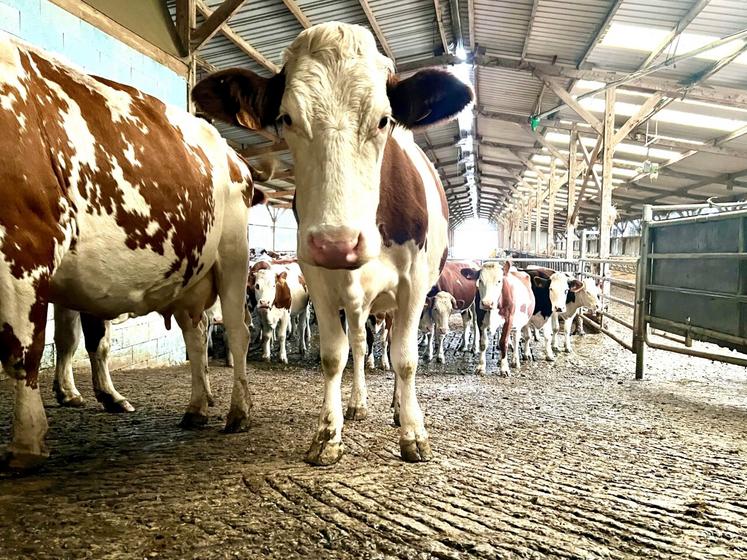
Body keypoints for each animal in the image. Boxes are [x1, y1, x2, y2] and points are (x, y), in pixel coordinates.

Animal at [0, 34, 256, 470]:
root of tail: (231, 151)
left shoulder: (25, 239)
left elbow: (24, 349)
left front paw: (26, 443)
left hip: (233, 257)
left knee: (238, 331)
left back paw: (238, 412)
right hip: (192, 274)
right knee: (196, 333)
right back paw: (196, 408)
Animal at [193, 22, 472, 464]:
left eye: (384, 119)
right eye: (286, 117)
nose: (336, 243)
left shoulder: (413, 286)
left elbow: (405, 359)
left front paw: (413, 434)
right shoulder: (319, 281)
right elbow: (334, 356)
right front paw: (328, 434)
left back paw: (397, 408)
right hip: (355, 300)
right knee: (358, 341)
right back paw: (357, 403)